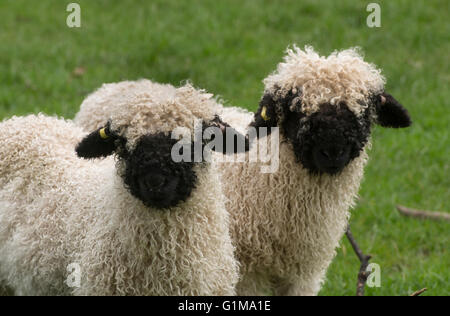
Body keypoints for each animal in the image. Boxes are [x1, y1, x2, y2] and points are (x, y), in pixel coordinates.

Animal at [73, 45, 412, 296]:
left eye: (364, 111)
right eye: (295, 109)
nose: (332, 152)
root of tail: (114, 86)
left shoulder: (304, 275)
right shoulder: (248, 273)